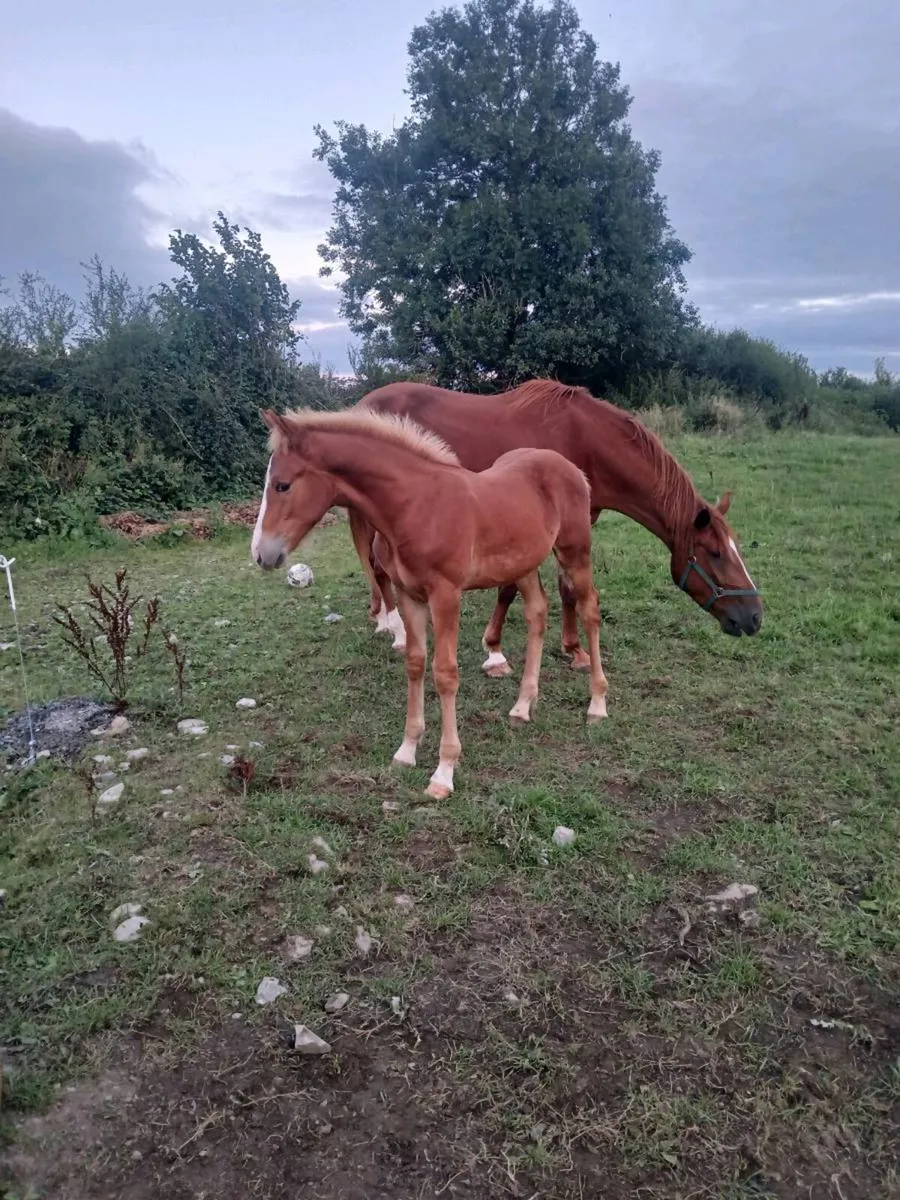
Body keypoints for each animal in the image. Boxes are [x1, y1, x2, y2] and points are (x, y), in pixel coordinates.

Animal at [251, 407, 607, 800]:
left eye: (282, 485)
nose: (261, 554)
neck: (415, 505)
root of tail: (571, 468)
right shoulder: (409, 596)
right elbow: (415, 663)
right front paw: (407, 750)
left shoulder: (445, 595)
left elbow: (445, 673)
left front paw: (444, 771)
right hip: (524, 563)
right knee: (537, 613)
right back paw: (522, 705)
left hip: (575, 552)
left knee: (590, 608)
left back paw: (597, 704)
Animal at [347, 380, 762, 671]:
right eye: (715, 553)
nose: (755, 618)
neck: (587, 441)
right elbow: (509, 589)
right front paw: (494, 650)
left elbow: (568, 590)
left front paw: (573, 649)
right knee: (378, 564)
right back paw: (395, 628)